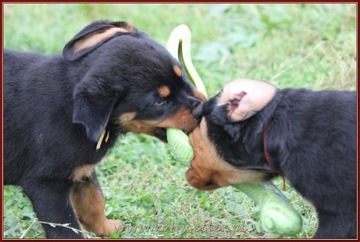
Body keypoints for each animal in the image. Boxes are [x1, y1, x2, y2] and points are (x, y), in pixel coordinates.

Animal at [4, 20, 205, 238]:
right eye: (160, 101)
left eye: (181, 74)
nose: (202, 109)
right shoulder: (46, 184)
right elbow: (68, 228)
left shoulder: (82, 170)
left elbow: (94, 202)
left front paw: (108, 229)